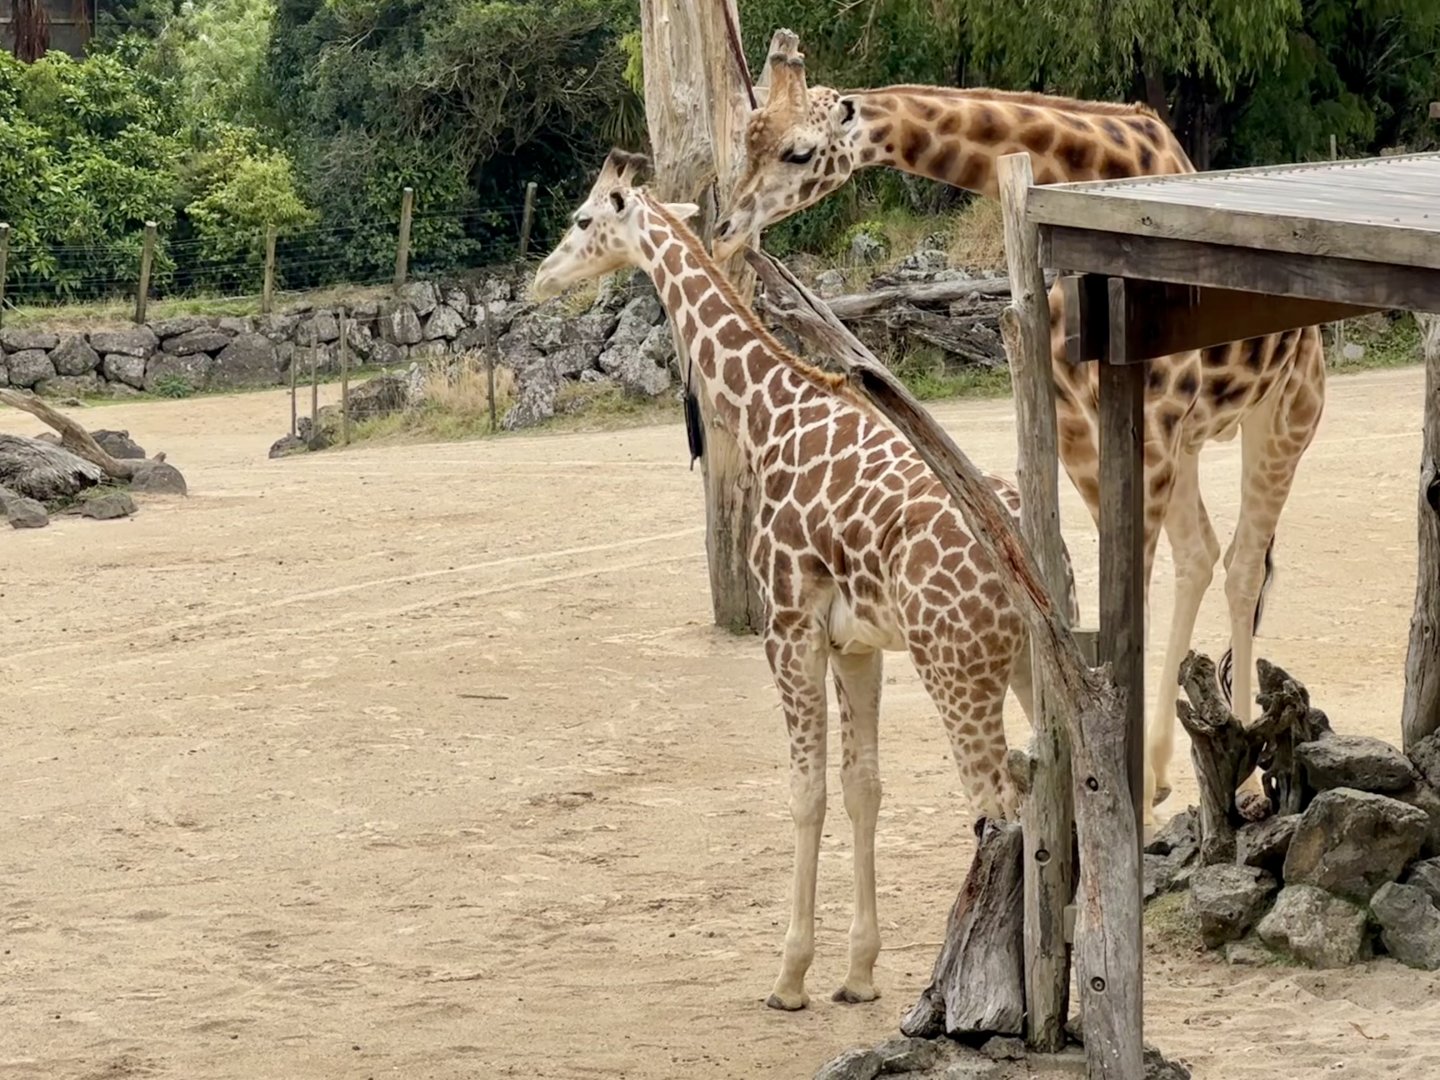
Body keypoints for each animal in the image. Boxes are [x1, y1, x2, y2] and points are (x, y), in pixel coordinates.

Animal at [532, 148, 1079, 1010]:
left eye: (583, 219)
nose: (538, 281)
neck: (770, 412)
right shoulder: (857, 644)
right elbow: (862, 787)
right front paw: (856, 973)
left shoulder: (787, 629)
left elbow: (805, 792)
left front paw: (789, 975)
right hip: (1031, 662)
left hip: (957, 666)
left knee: (999, 803)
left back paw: (980, 988)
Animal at [713, 34, 1328, 825]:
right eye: (746, 138)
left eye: (798, 150)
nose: (726, 229)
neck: (1084, 169)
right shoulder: (1076, 421)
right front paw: (1117, 771)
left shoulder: (1152, 412)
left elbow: (1130, 580)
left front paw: (1126, 787)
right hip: (1190, 440)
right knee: (1202, 552)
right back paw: (1166, 764)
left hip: (1285, 414)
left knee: (1245, 562)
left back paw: (1243, 775)